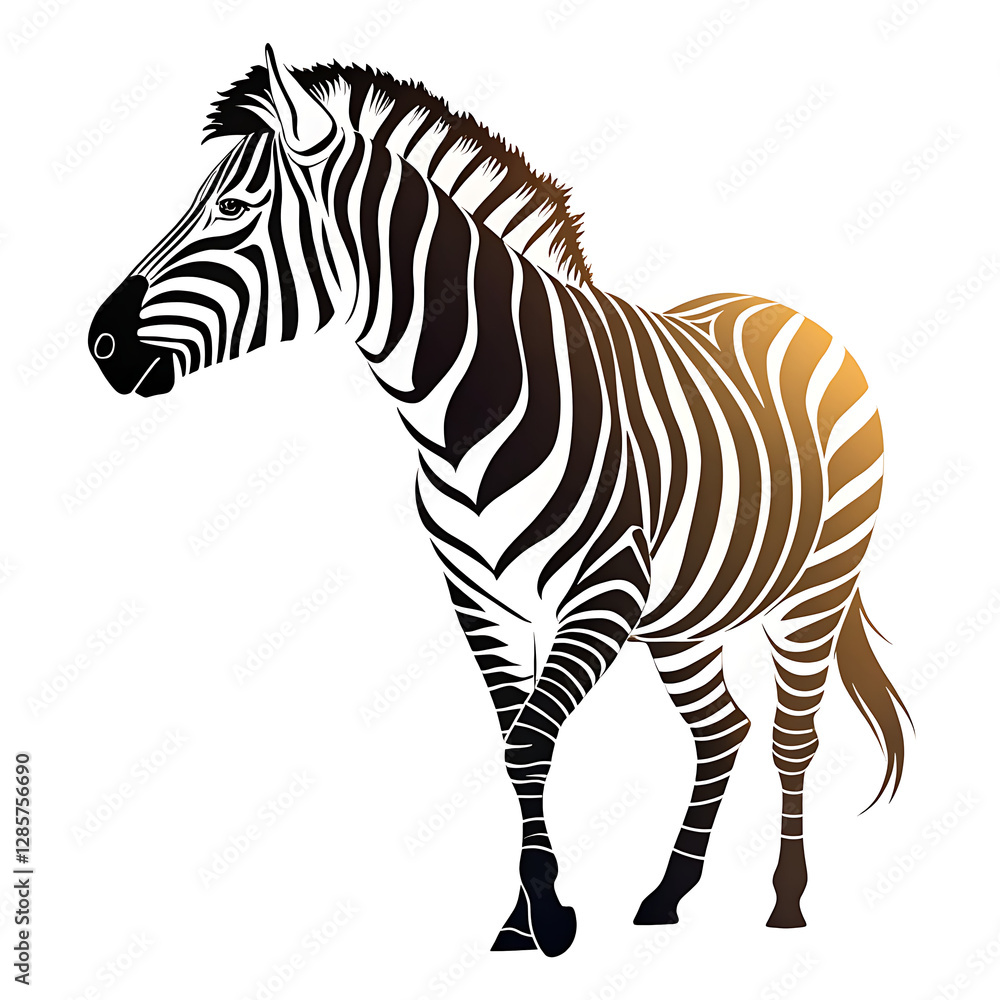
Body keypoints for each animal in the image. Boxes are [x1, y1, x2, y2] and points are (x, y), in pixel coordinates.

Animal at [88, 47, 910, 957]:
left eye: (233, 208)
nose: (100, 343)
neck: (460, 414)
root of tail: (794, 315)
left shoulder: (604, 592)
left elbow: (530, 740)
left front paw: (545, 913)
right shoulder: (480, 601)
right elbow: (520, 749)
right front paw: (526, 918)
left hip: (815, 589)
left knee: (791, 737)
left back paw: (786, 901)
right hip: (683, 615)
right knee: (720, 728)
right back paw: (668, 892)